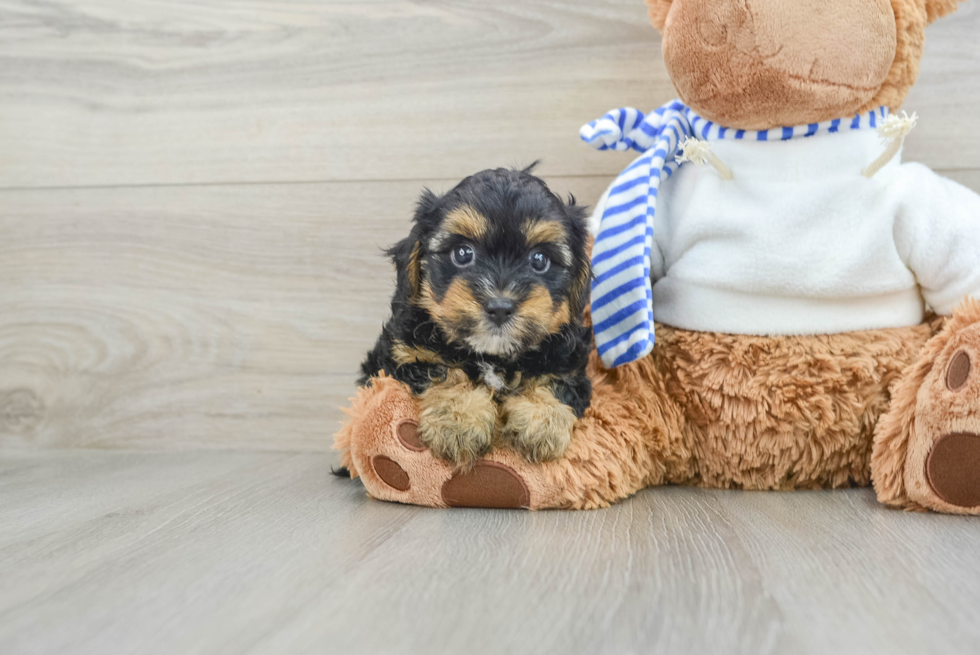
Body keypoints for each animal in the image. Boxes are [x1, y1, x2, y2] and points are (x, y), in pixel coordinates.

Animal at [360, 167, 588, 468]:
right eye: (463, 254)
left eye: (540, 260)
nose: (500, 306)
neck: (492, 355)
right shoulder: (404, 354)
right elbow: (442, 371)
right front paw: (459, 422)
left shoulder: (570, 366)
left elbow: (556, 380)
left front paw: (542, 422)